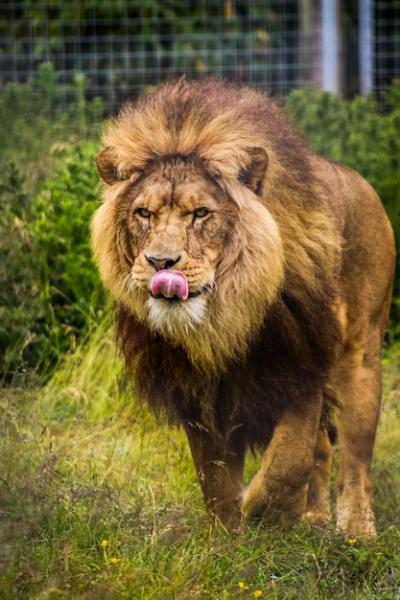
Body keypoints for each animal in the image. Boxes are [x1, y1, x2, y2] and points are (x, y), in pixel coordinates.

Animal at [92, 78, 396, 536]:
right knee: (324, 449)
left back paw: (355, 530)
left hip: (361, 353)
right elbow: (214, 477)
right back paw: (313, 517)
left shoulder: (299, 365)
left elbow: (288, 461)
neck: (223, 318)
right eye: (143, 213)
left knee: (355, 454)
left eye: (201, 213)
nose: (161, 263)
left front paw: (262, 511)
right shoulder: (198, 390)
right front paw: (229, 536)